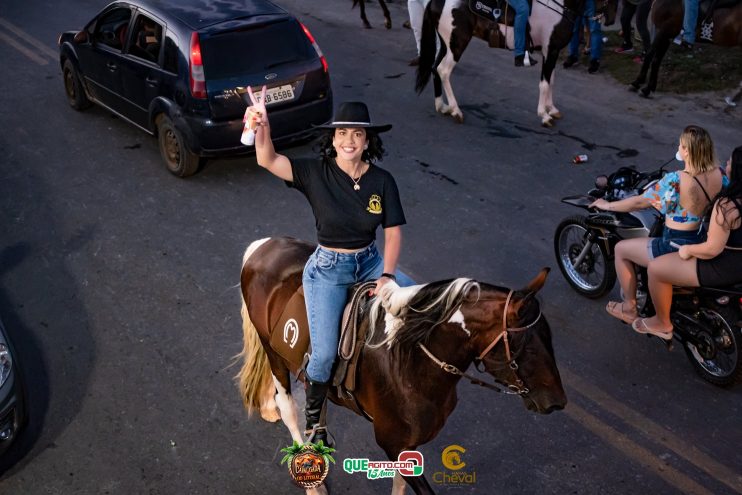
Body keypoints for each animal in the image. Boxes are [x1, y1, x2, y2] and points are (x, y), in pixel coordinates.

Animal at [235, 238, 568, 494]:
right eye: (526, 344)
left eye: (550, 337)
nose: (557, 401)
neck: (411, 361)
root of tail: (262, 247)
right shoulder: (391, 442)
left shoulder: (408, 444)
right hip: (274, 353)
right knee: (289, 407)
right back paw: (312, 480)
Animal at [416, 0, 620, 126]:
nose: (610, 19)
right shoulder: (551, 50)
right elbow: (545, 83)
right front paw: (544, 115)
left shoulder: (550, 51)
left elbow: (551, 81)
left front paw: (552, 109)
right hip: (457, 43)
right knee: (443, 71)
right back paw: (456, 111)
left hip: (446, 44)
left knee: (434, 68)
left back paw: (442, 106)